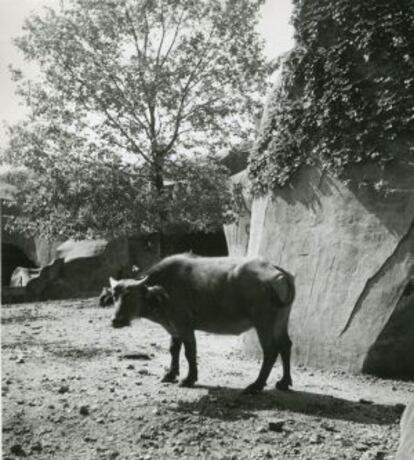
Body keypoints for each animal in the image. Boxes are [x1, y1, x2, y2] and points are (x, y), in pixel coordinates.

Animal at [107, 253, 294, 394]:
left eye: (130, 296)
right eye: (115, 296)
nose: (116, 320)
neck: (165, 289)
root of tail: (277, 271)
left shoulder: (184, 326)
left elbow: (190, 352)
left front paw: (189, 379)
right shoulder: (173, 327)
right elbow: (174, 350)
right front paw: (170, 374)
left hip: (264, 323)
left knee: (271, 351)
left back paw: (256, 385)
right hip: (281, 321)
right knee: (286, 345)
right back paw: (284, 382)